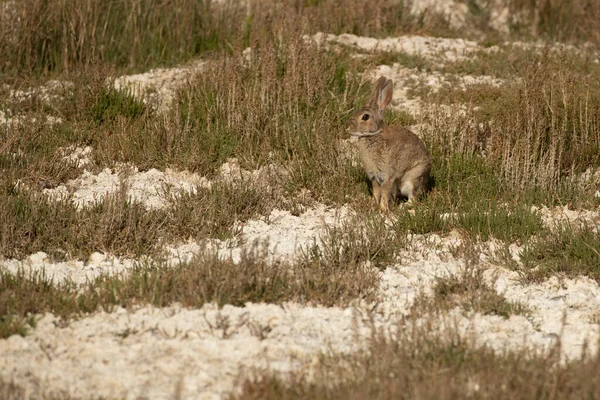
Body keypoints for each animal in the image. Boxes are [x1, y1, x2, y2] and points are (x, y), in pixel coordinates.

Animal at [346, 76, 432, 212]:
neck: (373, 135)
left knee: (413, 197)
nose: (347, 127)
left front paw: (382, 209)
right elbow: (376, 192)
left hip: (412, 179)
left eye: (365, 117)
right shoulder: (374, 178)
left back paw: (403, 206)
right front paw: (373, 205)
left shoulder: (387, 176)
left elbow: (384, 193)